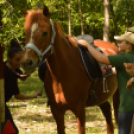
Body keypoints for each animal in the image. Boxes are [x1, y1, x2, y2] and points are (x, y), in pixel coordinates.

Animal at [21, 5, 119, 134]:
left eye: (45, 33)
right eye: (26, 32)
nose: (27, 62)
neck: (62, 75)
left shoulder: (79, 110)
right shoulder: (56, 111)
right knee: (107, 112)